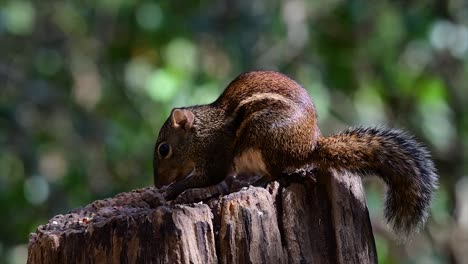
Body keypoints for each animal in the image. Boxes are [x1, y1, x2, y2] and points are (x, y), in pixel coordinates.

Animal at [153, 70, 438, 237]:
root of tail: (309, 147)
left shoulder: (214, 154)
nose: (156, 184)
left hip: (266, 137)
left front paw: (172, 191)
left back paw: (258, 182)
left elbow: (208, 178)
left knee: (278, 173)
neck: (201, 132)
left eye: (164, 149)